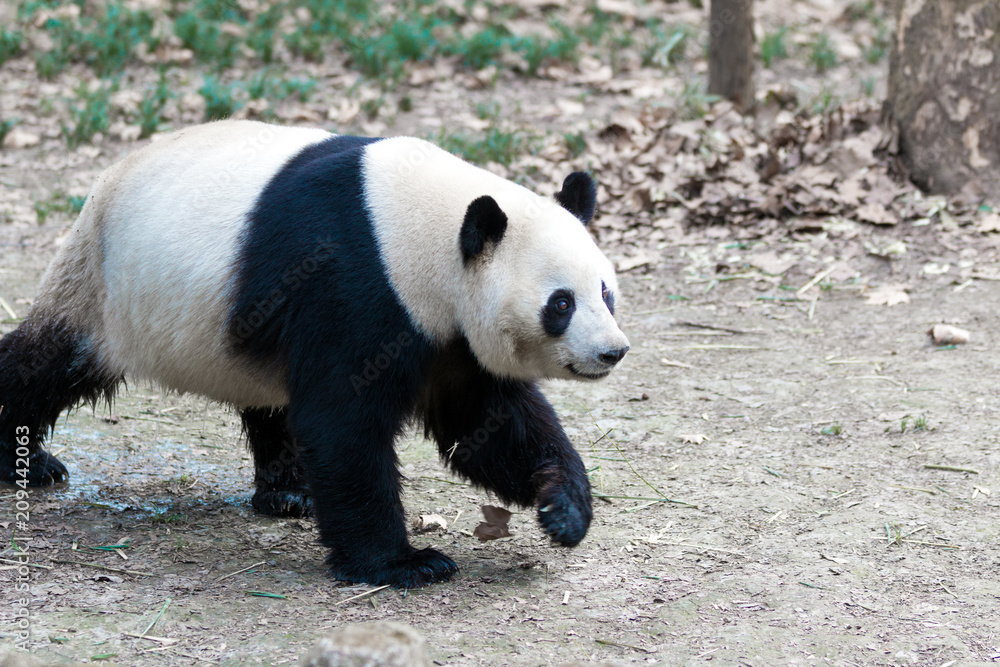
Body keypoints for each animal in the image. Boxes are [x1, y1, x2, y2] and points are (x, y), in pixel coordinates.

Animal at [0, 121, 624, 588]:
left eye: (606, 292)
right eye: (561, 303)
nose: (612, 352)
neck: (421, 225)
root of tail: (106, 181)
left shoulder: (448, 334)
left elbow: (487, 425)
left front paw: (563, 509)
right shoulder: (356, 280)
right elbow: (343, 423)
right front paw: (405, 564)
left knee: (272, 401)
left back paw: (289, 492)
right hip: (105, 286)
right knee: (49, 361)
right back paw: (26, 463)